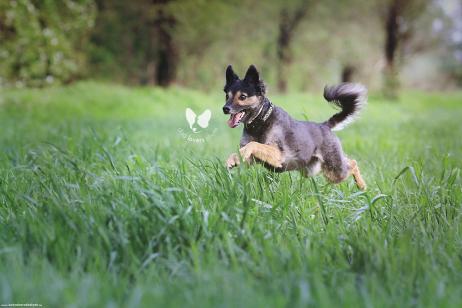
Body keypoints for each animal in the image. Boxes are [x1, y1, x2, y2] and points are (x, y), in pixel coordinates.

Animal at [224, 64, 368, 190]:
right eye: (227, 96)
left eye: (243, 97)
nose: (225, 108)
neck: (261, 121)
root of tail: (324, 126)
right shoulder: (252, 160)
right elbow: (241, 151)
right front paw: (231, 159)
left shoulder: (278, 155)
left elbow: (253, 144)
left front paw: (242, 152)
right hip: (313, 170)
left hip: (335, 169)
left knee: (353, 164)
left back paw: (362, 186)